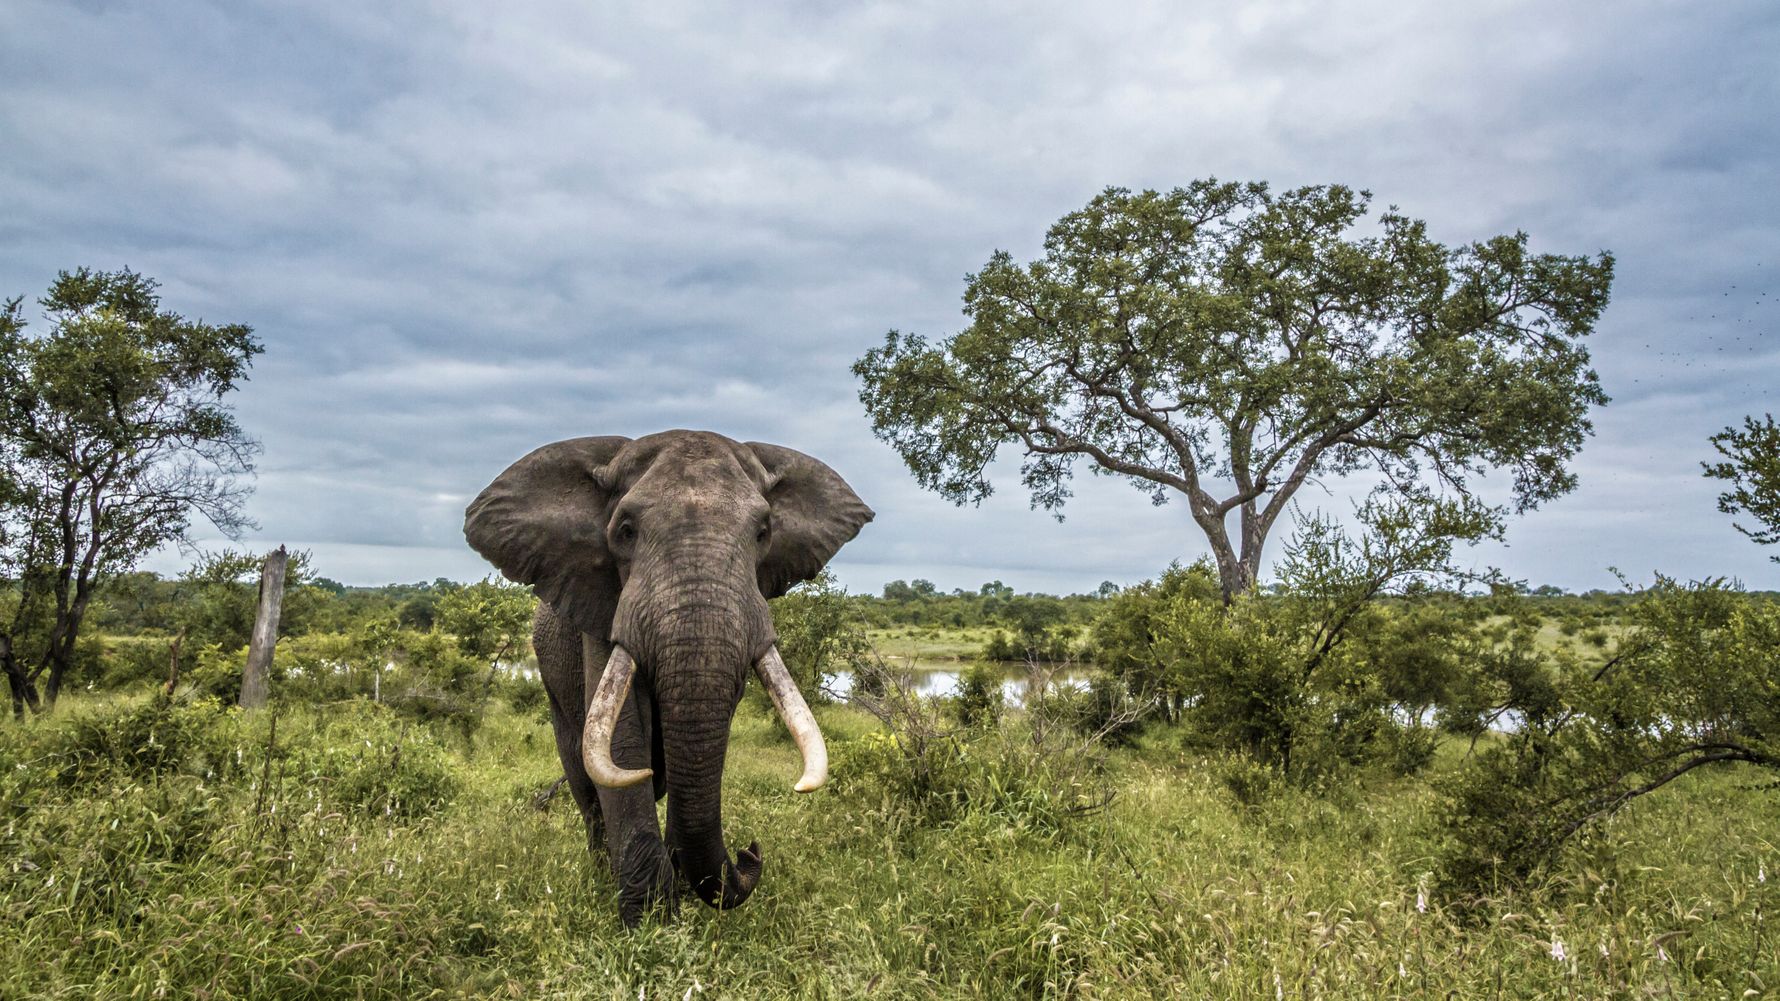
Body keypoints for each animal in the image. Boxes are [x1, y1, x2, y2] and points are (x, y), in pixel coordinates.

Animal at [462, 429, 872, 926]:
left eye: (763, 533)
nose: (750, 853)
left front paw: (678, 892)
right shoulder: (602, 604)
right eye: (625, 531)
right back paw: (601, 874)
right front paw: (650, 921)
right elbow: (622, 737)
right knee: (583, 779)